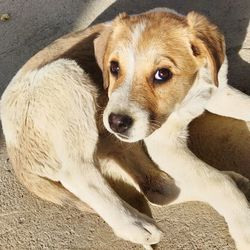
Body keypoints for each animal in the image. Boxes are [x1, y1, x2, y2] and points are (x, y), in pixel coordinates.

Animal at [96, 8, 250, 249]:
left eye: (162, 74)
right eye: (114, 67)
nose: (116, 122)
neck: (188, 98)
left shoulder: (219, 94)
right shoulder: (164, 144)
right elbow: (219, 182)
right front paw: (245, 227)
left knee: (159, 191)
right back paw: (136, 227)